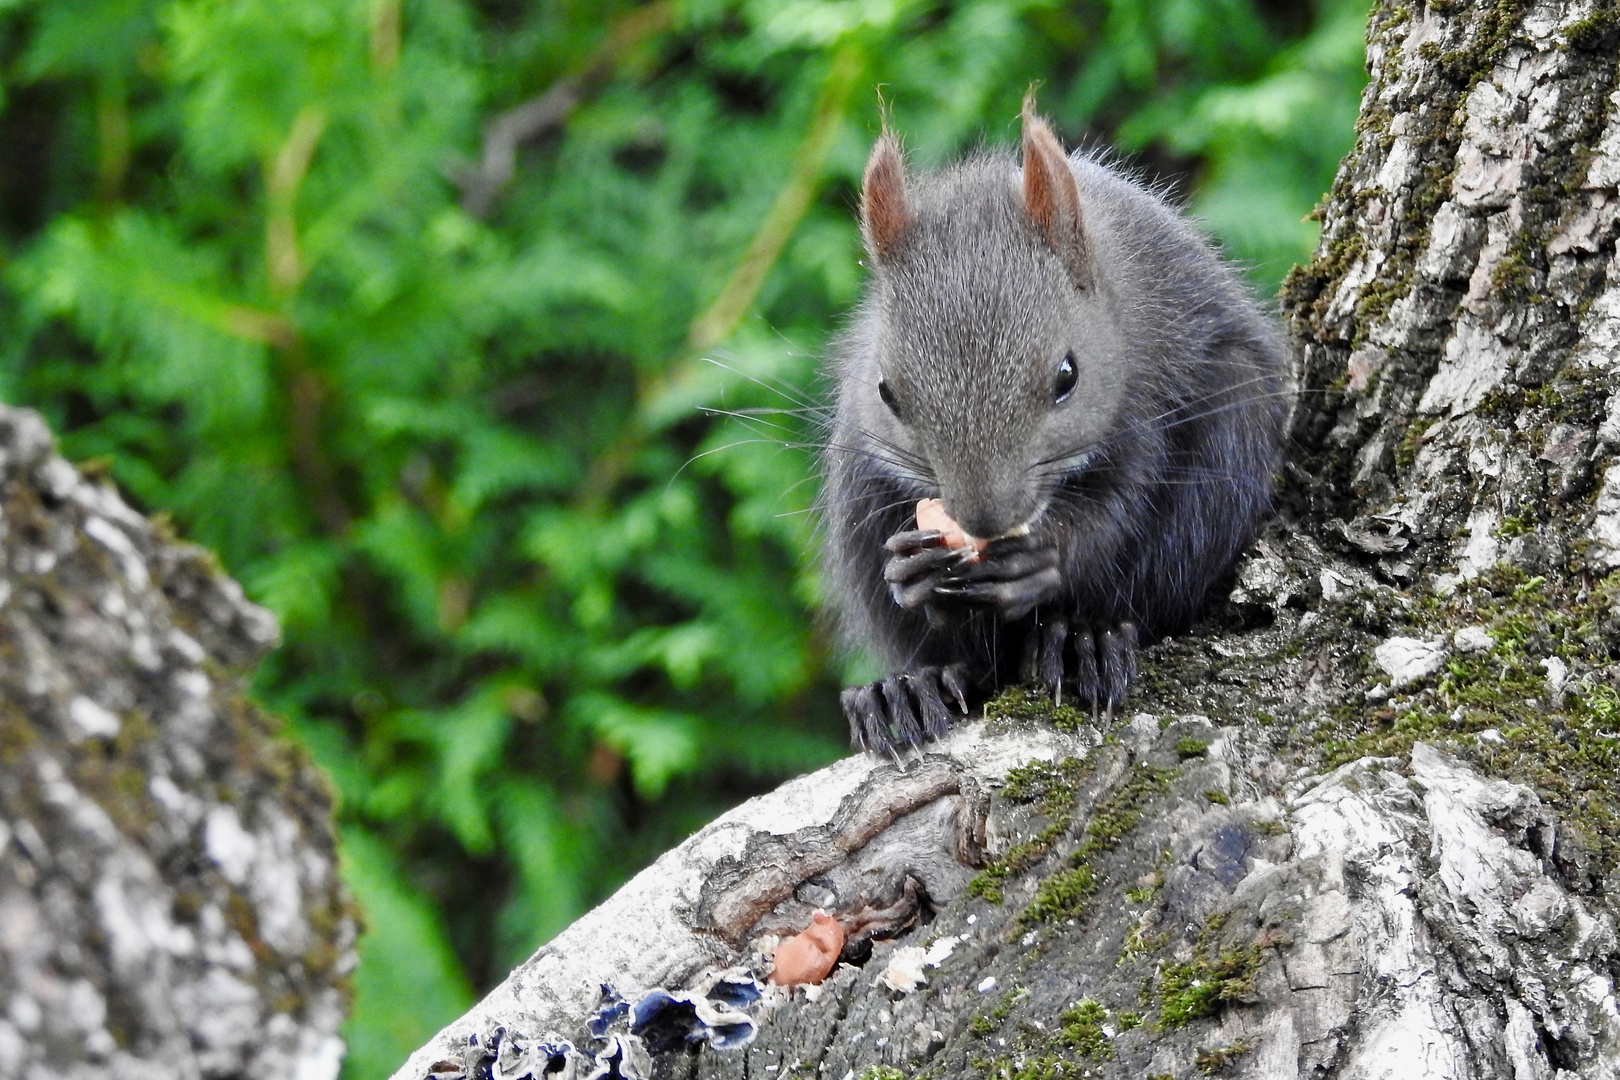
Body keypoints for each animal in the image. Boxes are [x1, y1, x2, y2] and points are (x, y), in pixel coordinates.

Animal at [822, 103, 1289, 761]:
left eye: (1068, 376)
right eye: (887, 391)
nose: (984, 520)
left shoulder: (1140, 406)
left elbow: (1116, 513)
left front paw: (1048, 557)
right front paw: (909, 572)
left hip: (1232, 429)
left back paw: (1082, 641)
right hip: (855, 485)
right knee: (962, 659)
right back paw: (908, 687)